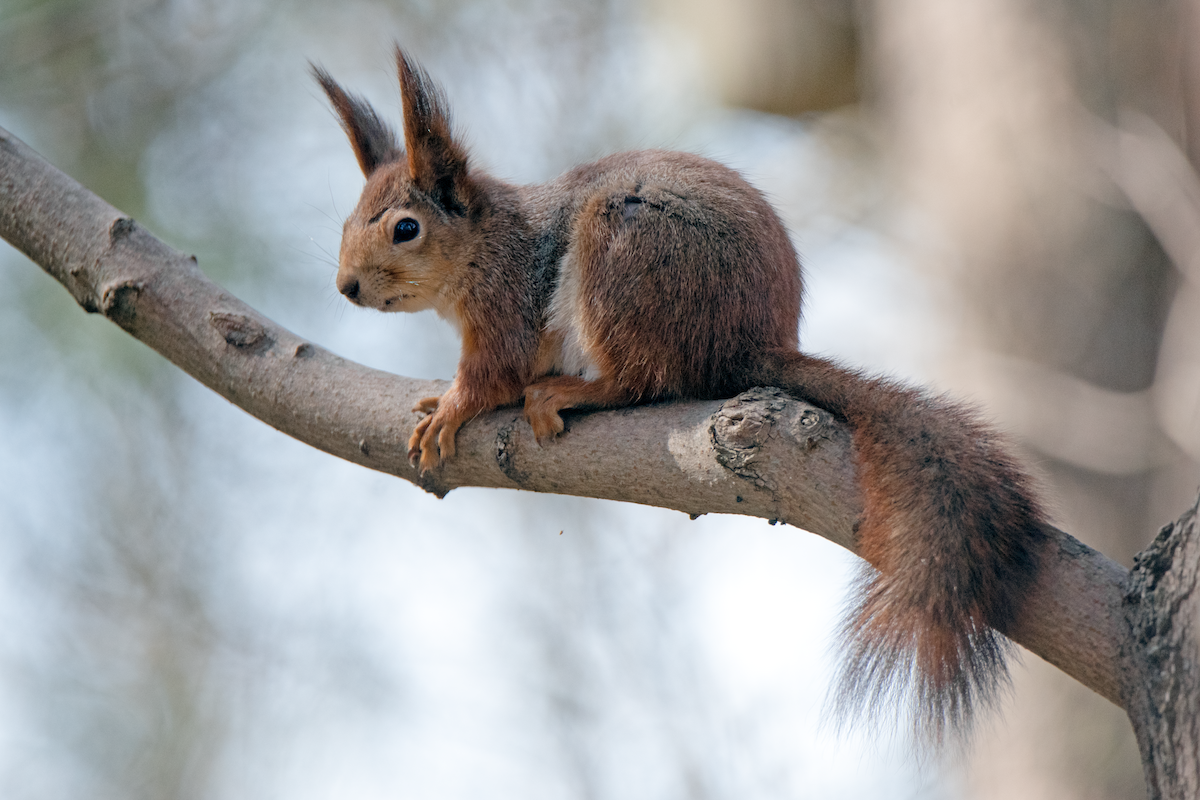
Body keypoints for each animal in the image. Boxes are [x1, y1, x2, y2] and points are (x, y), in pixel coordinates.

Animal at [313, 48, 1048, 745]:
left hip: (623, 256)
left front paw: (452, 408)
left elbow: (495, 375)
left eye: (405, 228)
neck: (481, 246)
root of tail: (749, 346)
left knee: (644, 380)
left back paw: (574, 392)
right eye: (346, 221)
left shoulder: (507, 301)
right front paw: (438, 398)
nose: (346, 287)